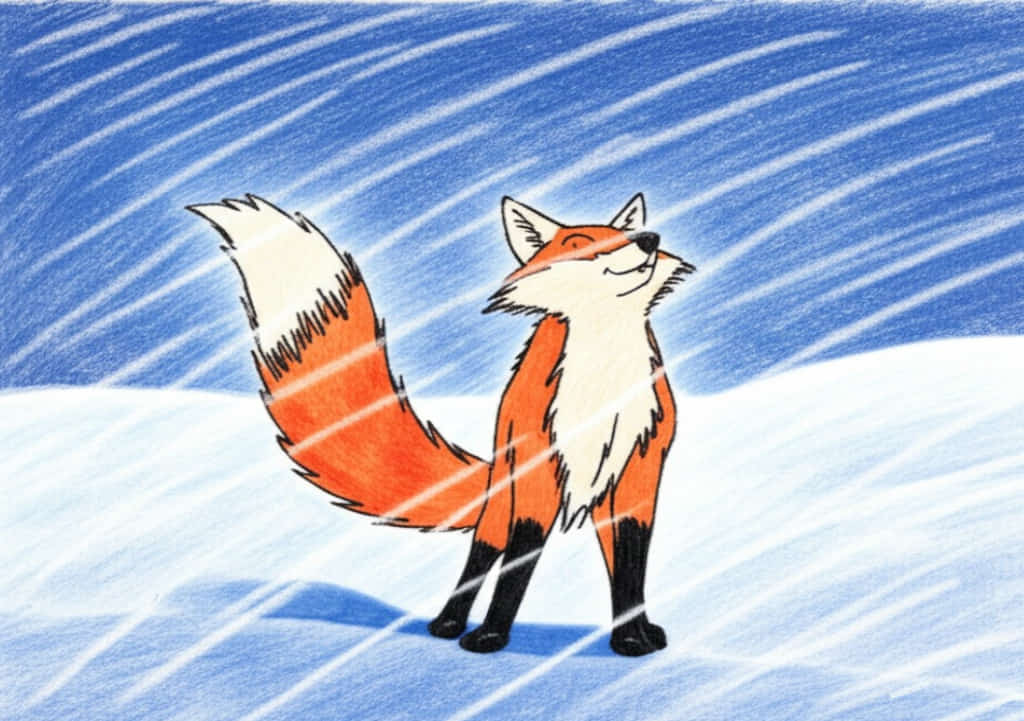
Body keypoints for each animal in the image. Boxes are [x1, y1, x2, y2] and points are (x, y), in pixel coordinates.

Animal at [188, 191, 694, 656]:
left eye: (628, 233)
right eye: (580, 242)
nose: (649, 239)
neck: (603, 381)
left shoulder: (641, 470)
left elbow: (630, 569)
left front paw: (632, 639)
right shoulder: (537, 469)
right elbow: (516, 567)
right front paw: (491, 636)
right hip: (504, 500)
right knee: (481, 556)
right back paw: (448, 624)